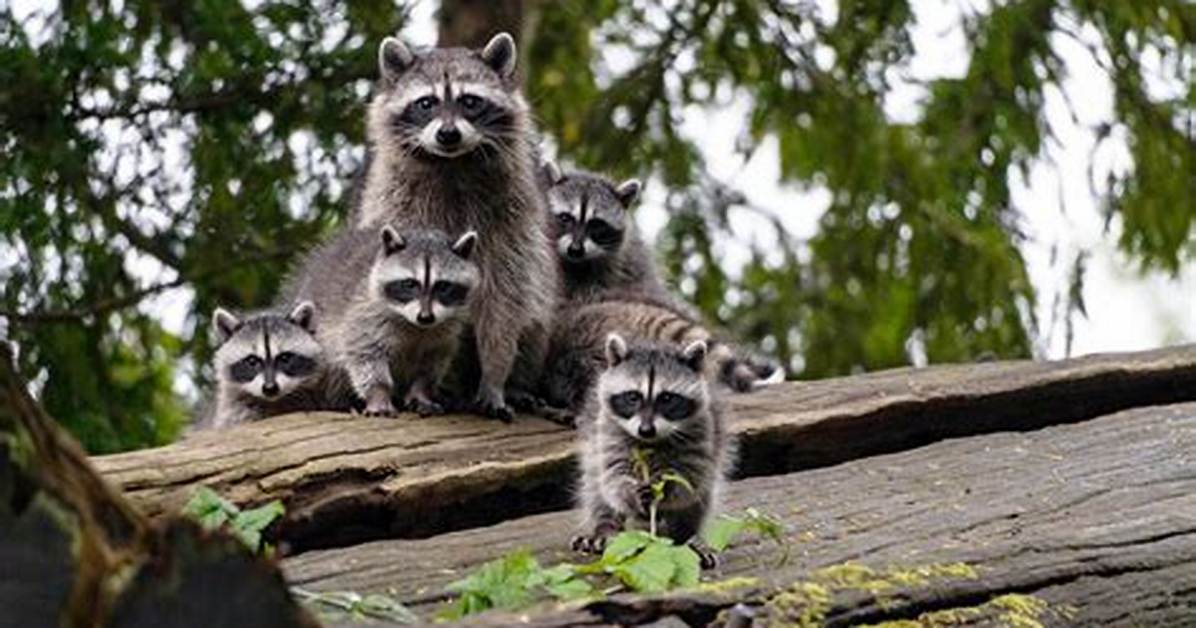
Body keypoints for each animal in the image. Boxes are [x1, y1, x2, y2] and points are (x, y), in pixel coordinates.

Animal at [284, 226, 480, 417]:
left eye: (443, 286)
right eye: (410, 284)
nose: (425, 317)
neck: (415, 325)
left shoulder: (444, 330)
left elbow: (431, 364)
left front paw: (421, 393)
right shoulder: (365, 313)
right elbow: (365, 354)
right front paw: (379, 393)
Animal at [355, 32, 558, 421]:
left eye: (470, 101)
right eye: (426, 103)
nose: (448, 134)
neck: (453, 164)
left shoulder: (511, 221)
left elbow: (505, 299)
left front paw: (495, 375)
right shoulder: (398, 205)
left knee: (534, 315)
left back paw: (518, 385)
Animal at [572, 334, 732, 568]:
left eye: (667, 398)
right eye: (633, 397)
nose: (645, 430)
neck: (650, 442)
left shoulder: (703, 431)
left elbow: (689, 481)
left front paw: (665, 485)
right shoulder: (607, 430)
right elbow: (613, 478)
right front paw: (629, 493)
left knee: (701, 499)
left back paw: (688, 536)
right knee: (595, 488)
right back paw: (605, 528)